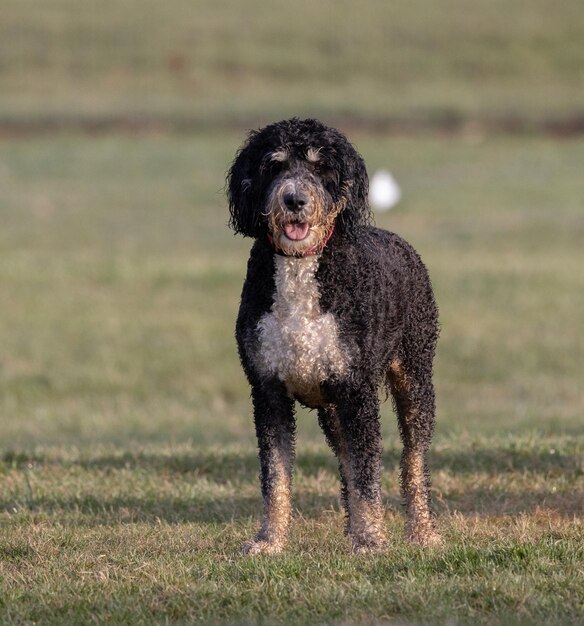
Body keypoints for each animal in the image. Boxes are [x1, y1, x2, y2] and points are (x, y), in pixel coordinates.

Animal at [226, 117, 440, 552]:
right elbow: (276, 475)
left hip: (414, 375)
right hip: (331, 408)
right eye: (273, 164)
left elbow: (367, 473)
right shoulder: (267, 389)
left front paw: (372, 539)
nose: (294, 200)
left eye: (320, 166)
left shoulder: (356, 389)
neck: (301, 268)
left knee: (413, 461)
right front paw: (269, 541)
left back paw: (421, 531)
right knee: (345, 463)